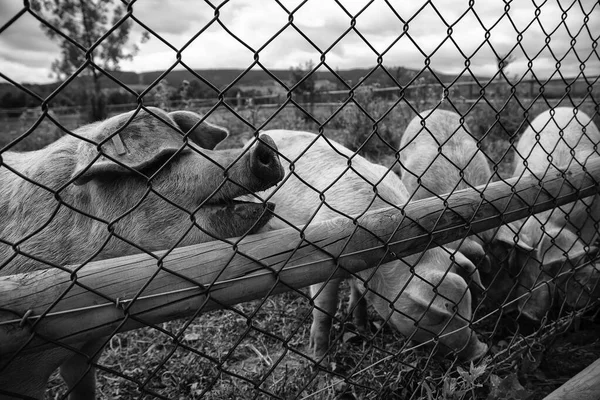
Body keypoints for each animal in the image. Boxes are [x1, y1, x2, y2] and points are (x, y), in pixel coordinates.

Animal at [241, 130, 490, 362]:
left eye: (468, 305)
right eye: (440, 314)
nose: (481, 351)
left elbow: (358, 295)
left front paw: (363, 328)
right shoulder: (323, 261)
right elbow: (325, 308)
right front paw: (319, 356)